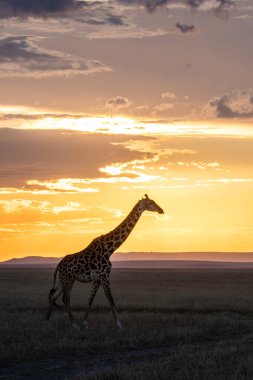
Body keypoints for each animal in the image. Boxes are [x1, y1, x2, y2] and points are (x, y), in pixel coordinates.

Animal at [46, 194, 163, 328]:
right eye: (150, 203)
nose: (161, 210)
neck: (109, 249)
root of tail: (58, 265)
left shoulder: (97, 278)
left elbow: (90, 299)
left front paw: (85, 323)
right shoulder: (105, 276)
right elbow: (111, 300)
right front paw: (119, 324)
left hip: (63, 279)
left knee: (54, 296)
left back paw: (48, 321)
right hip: (68, 278)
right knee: (65, 298)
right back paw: (74, 324)